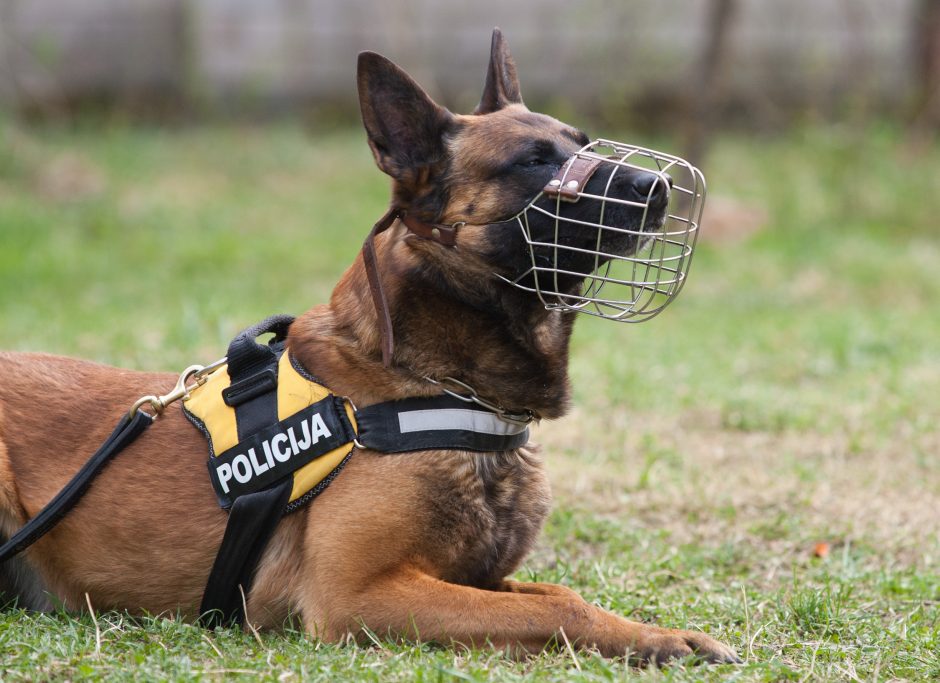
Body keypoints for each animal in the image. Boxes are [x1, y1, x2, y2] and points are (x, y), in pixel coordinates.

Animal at [0, 29, 740, 664]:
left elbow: (556, 591)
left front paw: (661, 633)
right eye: (534, 162)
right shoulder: (358, 594)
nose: (660, 186)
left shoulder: (473, 577)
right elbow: (559, 608)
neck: (433, 382)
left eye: (580, 142)